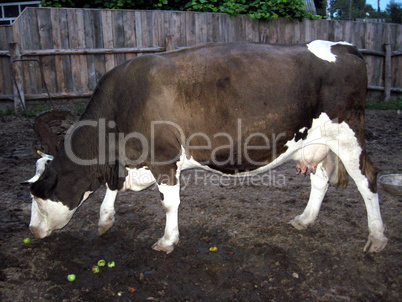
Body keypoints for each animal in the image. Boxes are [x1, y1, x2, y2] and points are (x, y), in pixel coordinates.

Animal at [23, 40, 388, 252]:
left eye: (38, 197)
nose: (33, 231)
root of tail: (343, 46)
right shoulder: (129, 161)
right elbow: (113, 189)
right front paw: (105, 220)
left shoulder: (163, 158)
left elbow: (169, 204)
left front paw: (167, 240)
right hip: (317, 142)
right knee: (321, 179)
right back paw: (305, 219)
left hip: (348, 135)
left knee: (368, 178)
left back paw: (377, 238)